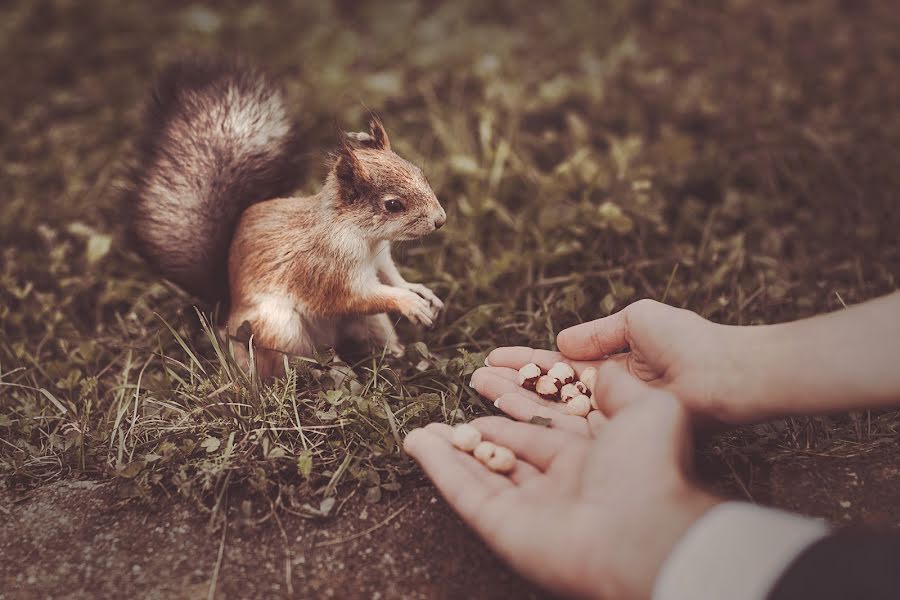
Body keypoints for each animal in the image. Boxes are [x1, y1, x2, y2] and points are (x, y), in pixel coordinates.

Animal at [127, 58, 446, 378]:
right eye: (393, 205)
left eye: (418, 171)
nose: (440, 219)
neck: (363, 237)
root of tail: (228, 321)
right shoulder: (327, 272)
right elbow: (361, 297)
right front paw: (409, 302)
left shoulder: (380, 258)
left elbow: (392, 277)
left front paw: (419, 291)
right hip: (280, 329)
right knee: (290, 366)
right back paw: (334, 372)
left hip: (369, 323)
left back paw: (399, 358)